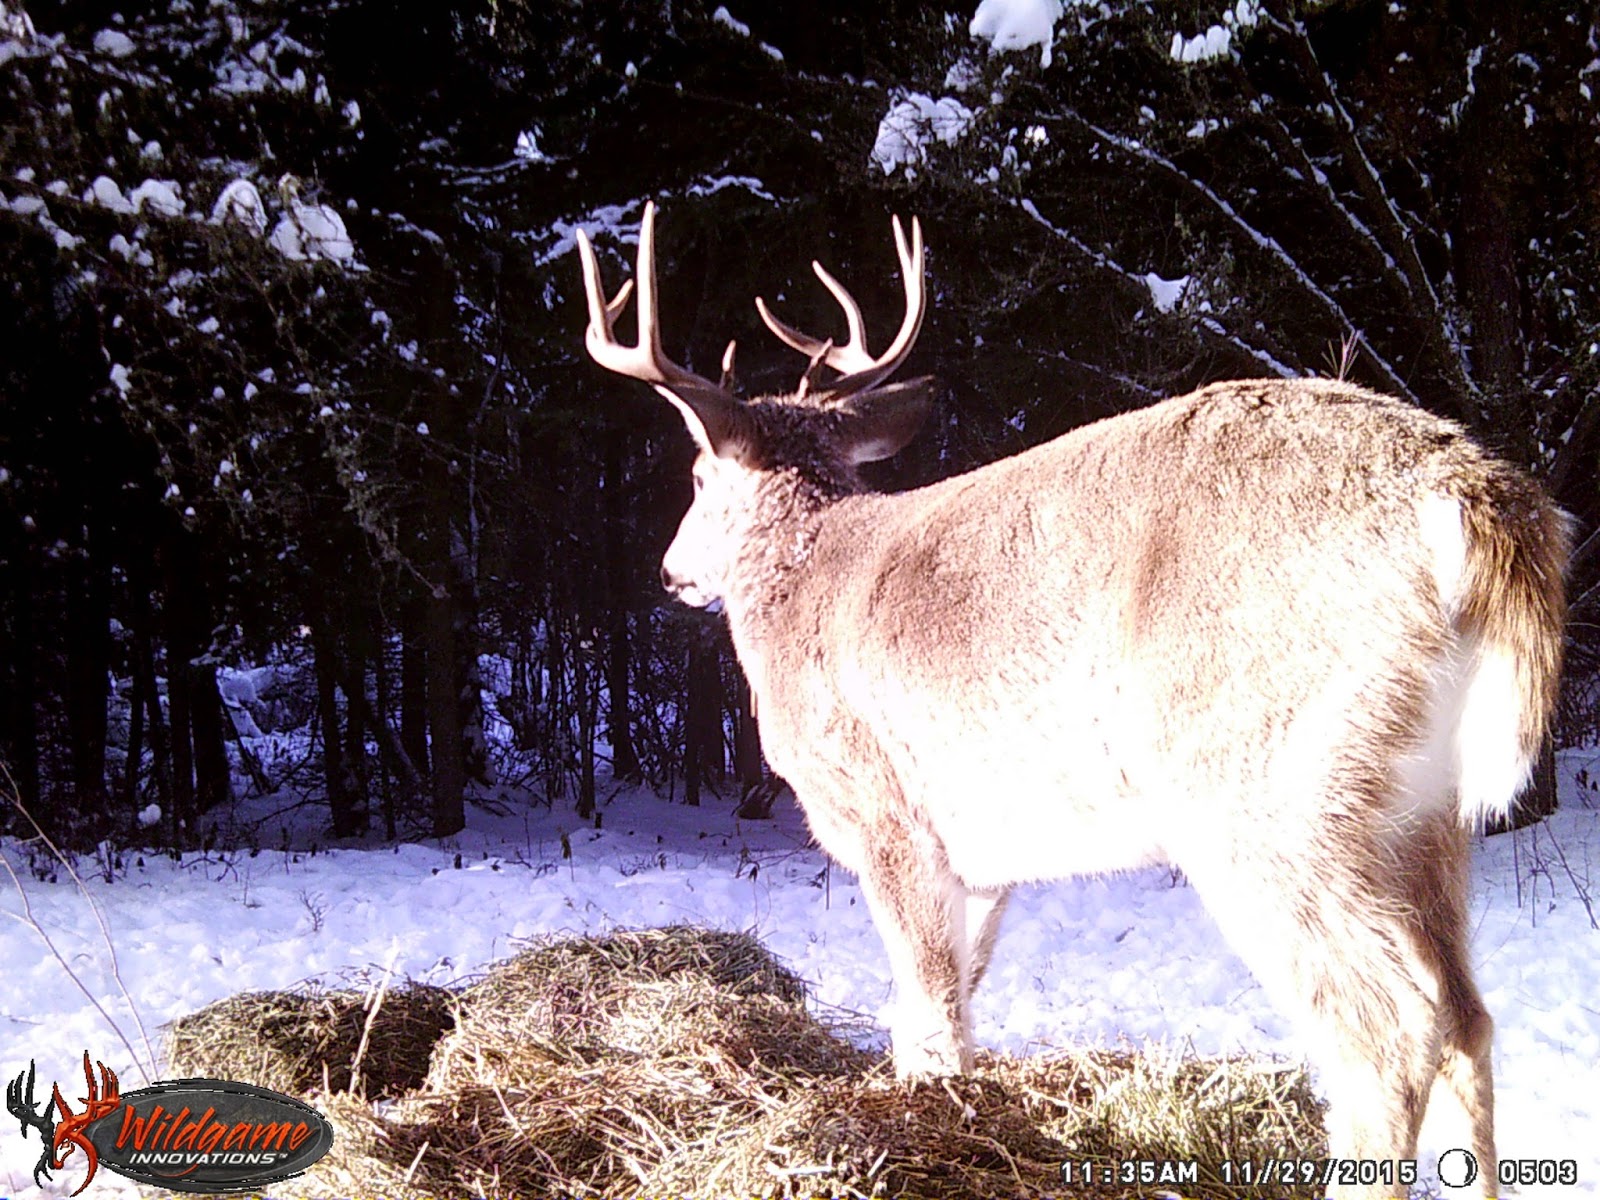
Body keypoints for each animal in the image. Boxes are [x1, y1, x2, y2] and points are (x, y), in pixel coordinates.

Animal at [575, 202, 1568, 1199]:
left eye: (697, 477)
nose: (669, 571)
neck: (802, 578)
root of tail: (1471, 495)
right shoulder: (981, 857)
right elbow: (949, 1007)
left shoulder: (882, 808)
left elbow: (928, 1017)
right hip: (1420, 805)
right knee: (1467, 1016)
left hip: (1267, 787)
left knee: (1386, 1028)